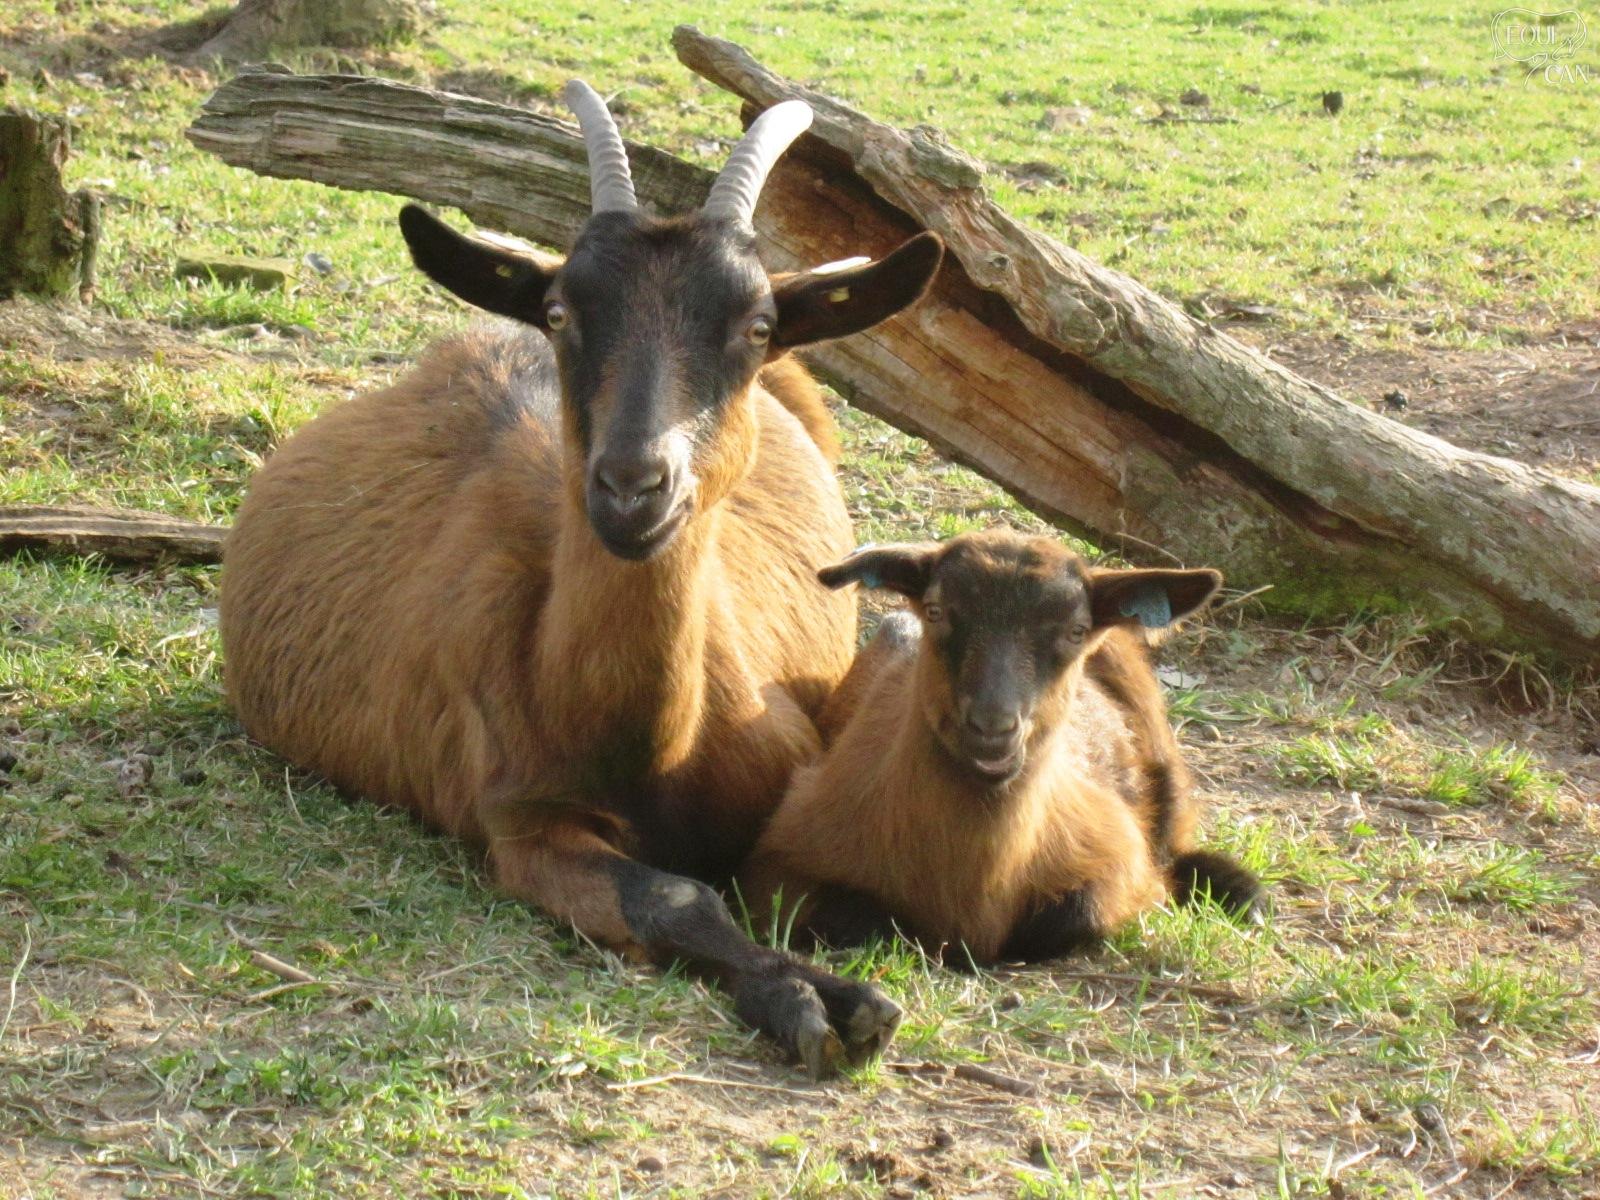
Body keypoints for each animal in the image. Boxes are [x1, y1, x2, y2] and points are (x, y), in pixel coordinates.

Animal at [219, 81, 944, 1077]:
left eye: (756, 327)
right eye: (562, 313)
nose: (633, 485)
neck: (646, 742)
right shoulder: (521, 822)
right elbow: (677, 897)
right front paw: (809, 1001)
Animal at [740, 529, 1262, 965]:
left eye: (1076, 630)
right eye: (935, 610)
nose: (992, 727)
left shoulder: (1119, 856)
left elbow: (1078, 915)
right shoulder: (782, 856)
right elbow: (858, 919)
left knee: (1175, 839)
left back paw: (1240, 892)